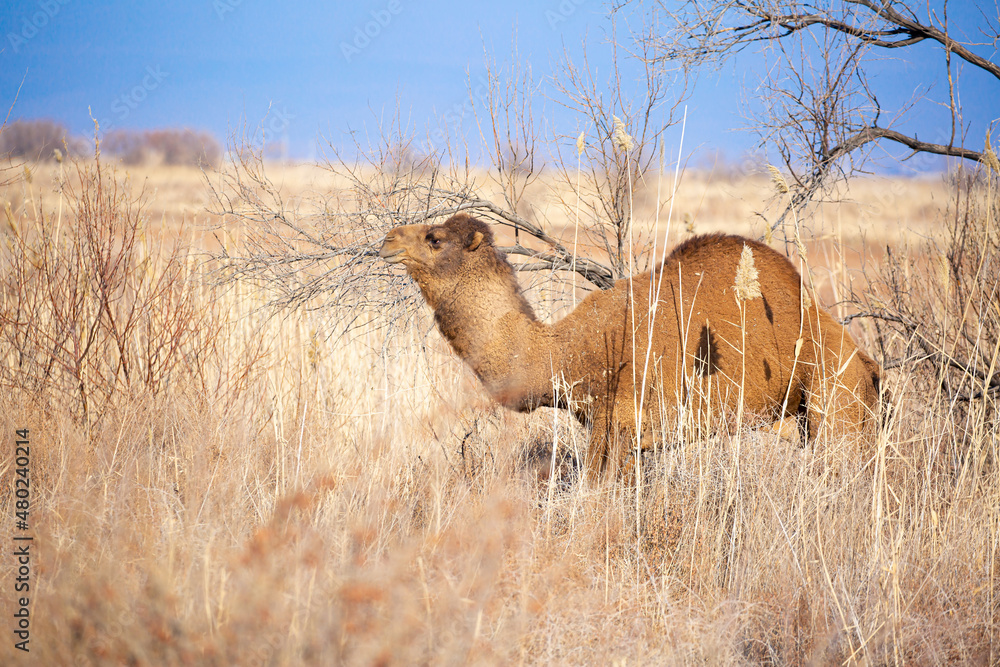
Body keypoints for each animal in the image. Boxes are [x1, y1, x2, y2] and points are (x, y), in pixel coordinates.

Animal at [380, 213, 883, 479]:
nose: (387, 240)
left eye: (434, 239)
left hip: (834, 400)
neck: (566, 353)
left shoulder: (617, 428)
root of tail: (868, 363)